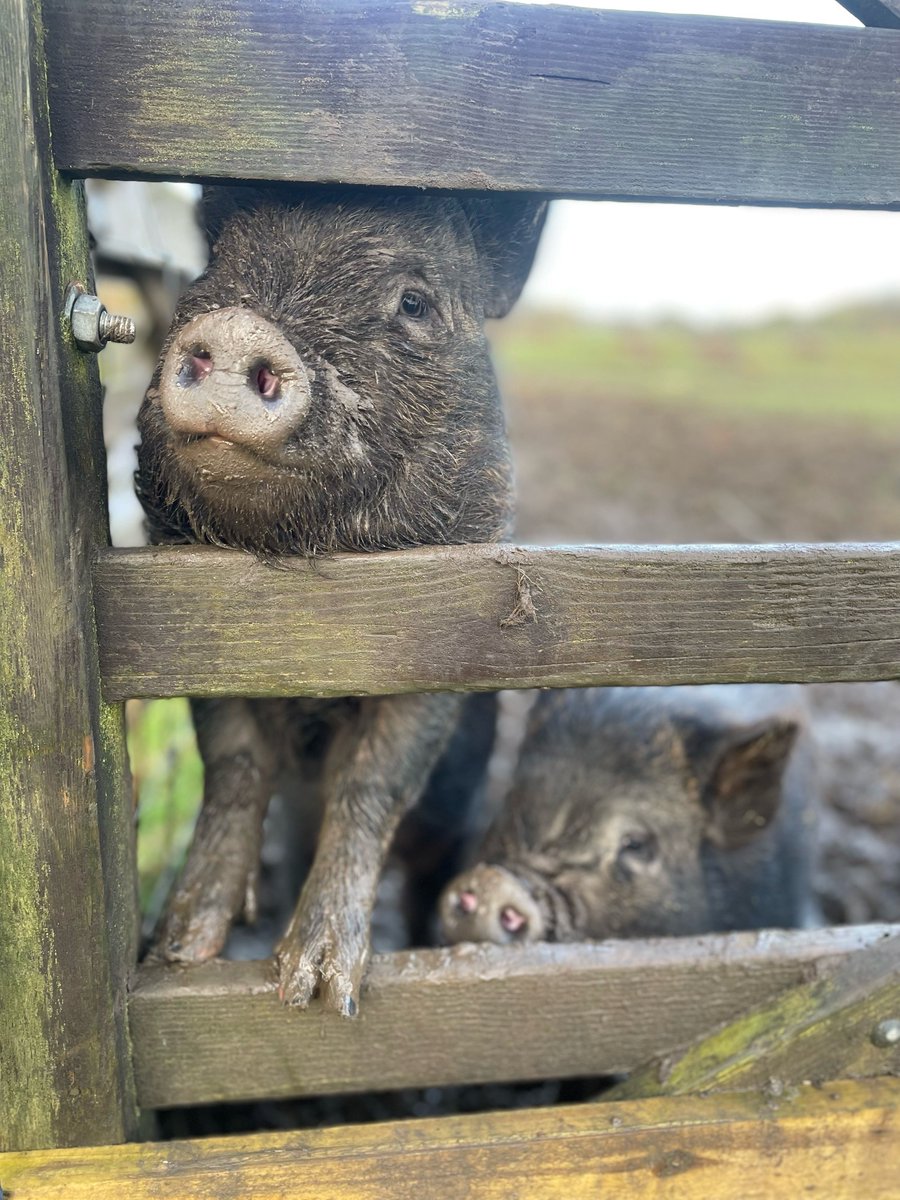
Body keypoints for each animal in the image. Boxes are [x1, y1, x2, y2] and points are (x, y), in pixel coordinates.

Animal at [136, 184, 547, 1012]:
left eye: (414, 302)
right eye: (215, 264)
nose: (239, 327)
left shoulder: (443, 658)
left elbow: (373, 782)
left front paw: (320, 992)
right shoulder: (196, 634)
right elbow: (232, 764)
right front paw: (179, 955)